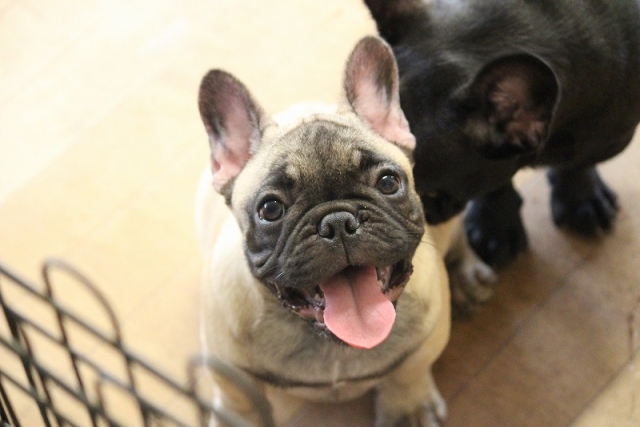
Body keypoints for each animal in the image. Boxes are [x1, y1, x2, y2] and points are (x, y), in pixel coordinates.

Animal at [194, 36, 487, 426]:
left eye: (388, 182)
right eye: (270, 209)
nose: (337, 222)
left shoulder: (427, 336)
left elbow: (408, 373)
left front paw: (407, 409)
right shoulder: (227, 367)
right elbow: (239, 400)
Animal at [364, 0, 640, 282]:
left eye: (428, 192)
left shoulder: (608, 136)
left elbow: (578, 161)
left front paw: (581, 196)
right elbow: (494, 183)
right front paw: (496, 224)